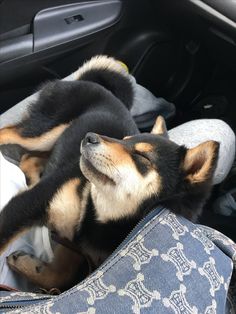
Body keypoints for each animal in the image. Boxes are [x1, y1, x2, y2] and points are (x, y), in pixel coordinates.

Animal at [0, 55, 219, 290]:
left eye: (143, 157)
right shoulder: (30, 203)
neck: (99, 213)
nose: (89, 137)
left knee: (28, 159)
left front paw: (31, 267)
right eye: (124, 140)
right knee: (7, 134)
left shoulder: (76, 245)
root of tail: (86, 81)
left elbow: (62, 275)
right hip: (41, 132)